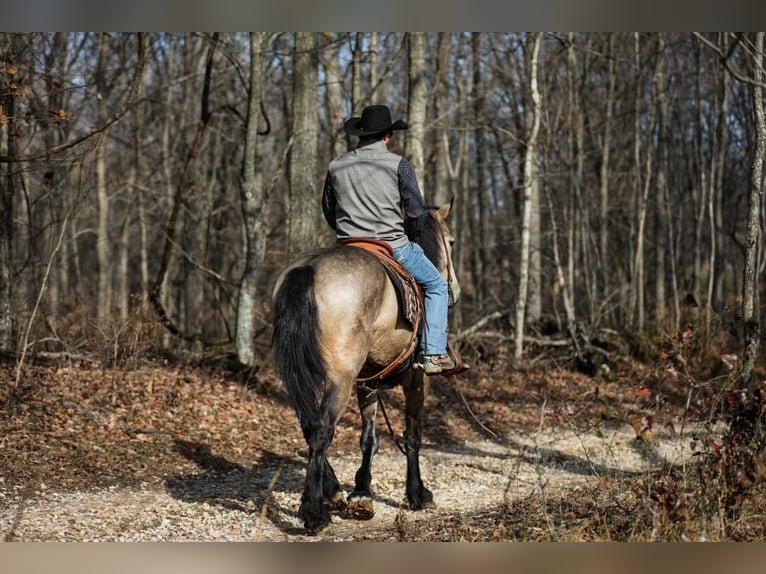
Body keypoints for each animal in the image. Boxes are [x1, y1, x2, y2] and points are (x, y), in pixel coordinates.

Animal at [272, 201, 462, 536]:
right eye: (451, 242)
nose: (456, 291)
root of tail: (308, 269)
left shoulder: (368, 382)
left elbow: (369, 438)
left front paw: (361, 492)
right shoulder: (417, 380)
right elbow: (412, 436)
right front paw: (417, 493)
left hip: (300, 375)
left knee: (309, 424)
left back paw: (333, 492)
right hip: (340, 378)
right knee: (321, 430)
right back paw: (315, 512)